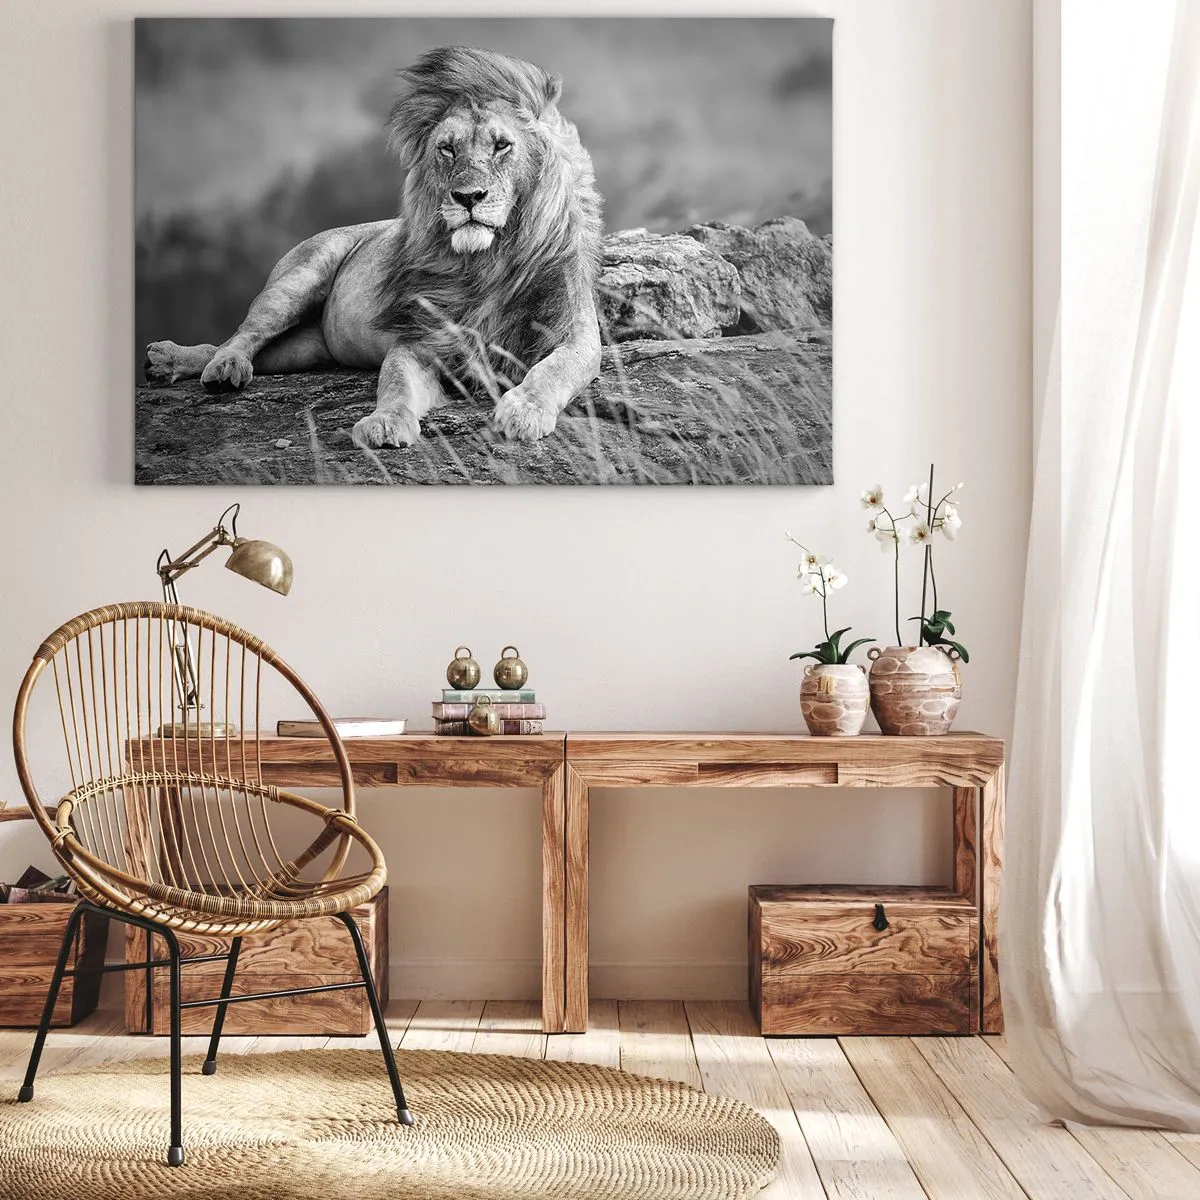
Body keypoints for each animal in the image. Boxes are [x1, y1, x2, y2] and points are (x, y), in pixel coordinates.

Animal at [144, 46, 603, 447]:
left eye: (501, 145)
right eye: (447, 148)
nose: (467, 197)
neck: (487, 261)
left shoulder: (575, 333)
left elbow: (553, 370)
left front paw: (524, 411)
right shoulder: (420, 339)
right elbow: (395, 383)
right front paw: (384, 423)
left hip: (305, 350)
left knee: (244, 348)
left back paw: (172, 362)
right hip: (297, 279)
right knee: (243, 335)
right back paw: (211, 366)